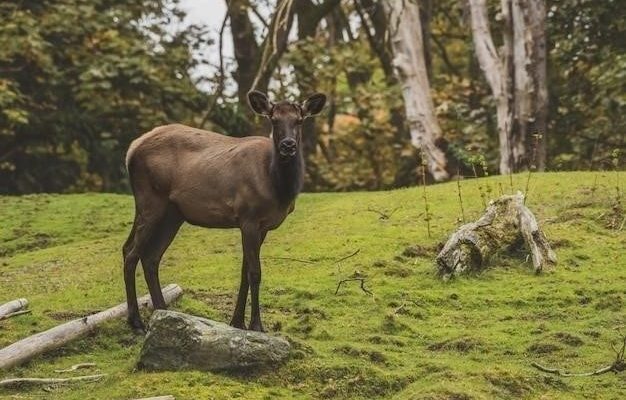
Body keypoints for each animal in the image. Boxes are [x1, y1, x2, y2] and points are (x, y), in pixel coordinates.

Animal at [123, 90, 326, 332]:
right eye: (274, 119)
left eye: (300, 120)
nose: (288, 145)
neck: (278, 187)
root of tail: (131, 150)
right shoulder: (248, 216)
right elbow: (255, 272)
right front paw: (256, 325)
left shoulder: (263, 226)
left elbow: (244, 273)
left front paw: (237, 321)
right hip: (151, 200)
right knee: (131, 253)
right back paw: (136, 322)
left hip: (172, 213)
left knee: (149, 256)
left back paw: (163, 312)